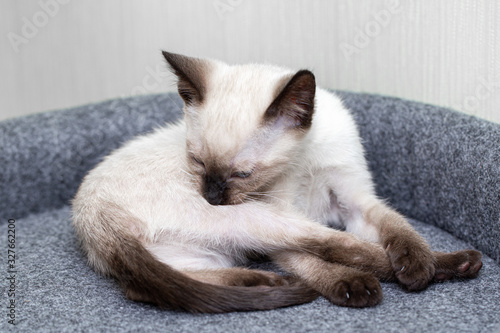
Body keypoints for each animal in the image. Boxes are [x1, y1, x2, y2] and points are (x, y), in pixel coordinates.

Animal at [72, 51, 482, 312]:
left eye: (243, 173)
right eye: (197, 162)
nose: (212, 197)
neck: (304, 160)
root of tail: (90, 217)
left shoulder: (355, 202)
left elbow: (400, 228)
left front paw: (413, 259)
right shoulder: (279, 214)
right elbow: (319, 256)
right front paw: (355, 286)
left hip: (213, 248)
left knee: (146, 287)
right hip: (255, 220)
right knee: (343, 247)